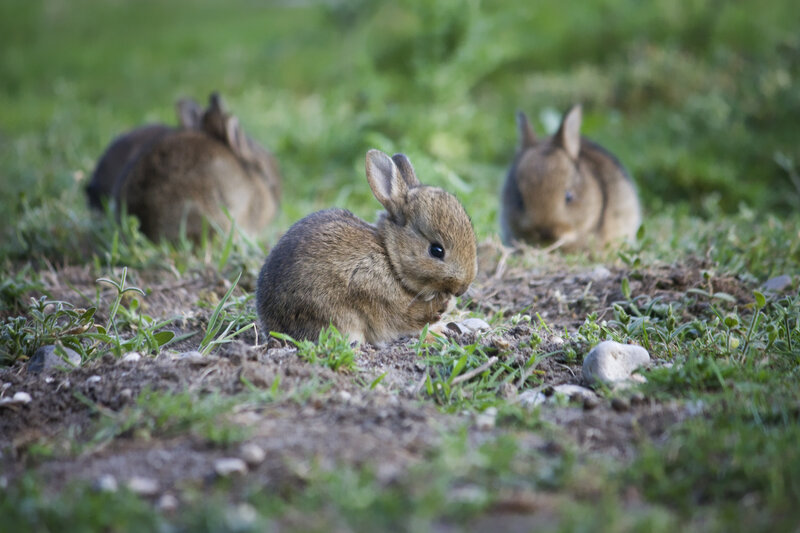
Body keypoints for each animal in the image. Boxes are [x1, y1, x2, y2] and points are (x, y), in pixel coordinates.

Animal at [256, 149, 477, 345]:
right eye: (436, 250)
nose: (461, 289)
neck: (390, 257)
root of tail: (270, 324)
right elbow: (412, 317)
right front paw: (444, 308)